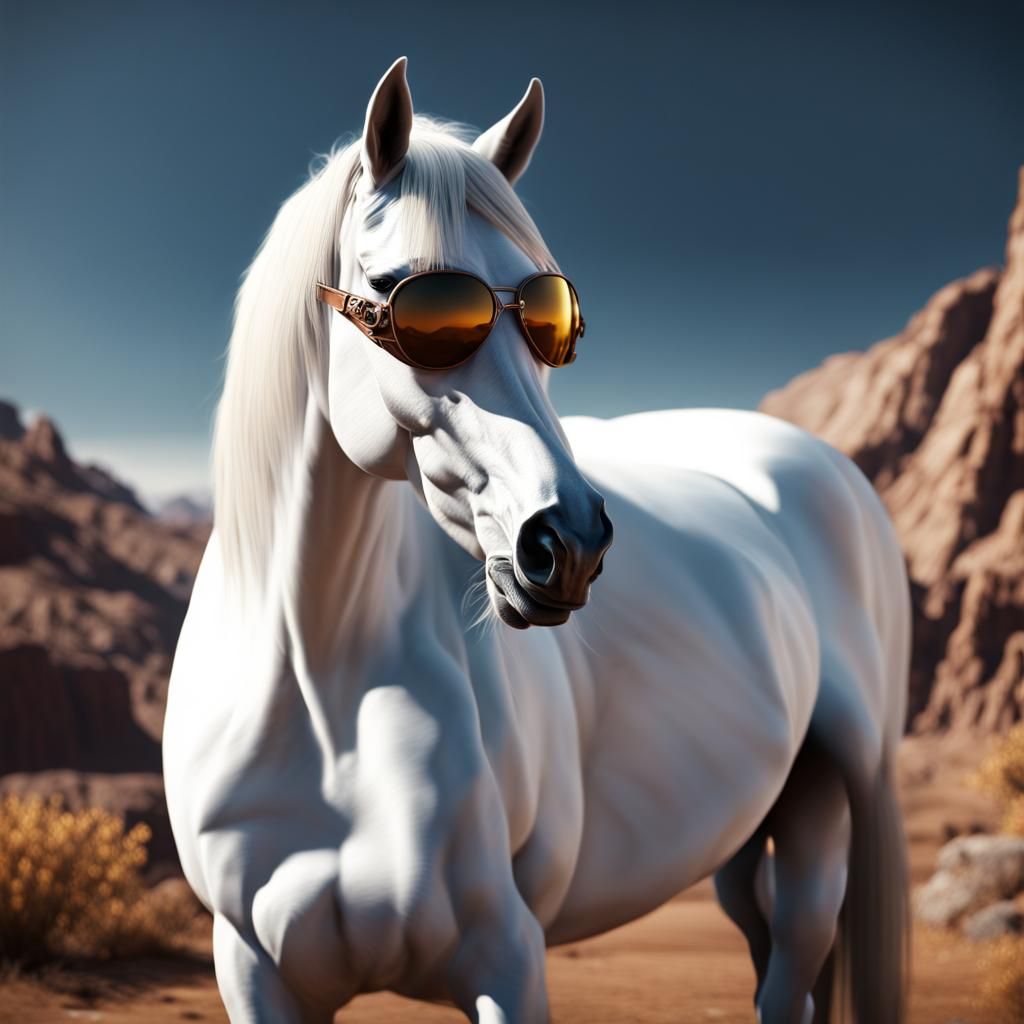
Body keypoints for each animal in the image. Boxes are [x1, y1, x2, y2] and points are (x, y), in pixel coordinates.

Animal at [163, 57, 911, 1024]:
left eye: (550, 310)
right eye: (414, 300)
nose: (571, 542)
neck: (325, 690)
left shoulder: (506, 954)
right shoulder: (254, 967)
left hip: (832, 800)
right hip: (752, 836)